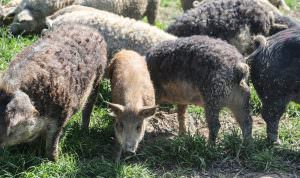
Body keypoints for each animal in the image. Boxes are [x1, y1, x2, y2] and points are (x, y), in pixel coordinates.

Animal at [0, 23, 108, 161]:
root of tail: (88, 28)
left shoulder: (61, 113)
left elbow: (53, 140)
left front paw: (54, 160)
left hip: (98, 78)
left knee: (88, 107)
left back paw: (84, 130)